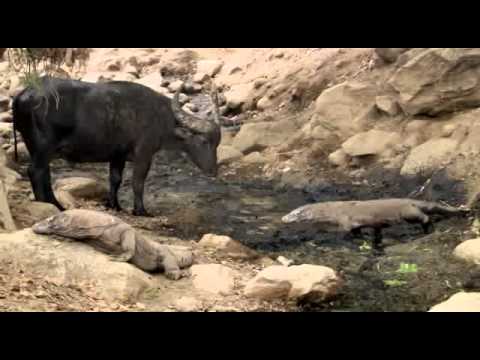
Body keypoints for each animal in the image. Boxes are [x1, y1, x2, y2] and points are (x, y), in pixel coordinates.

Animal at [11, 76, 221, 217]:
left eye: (217, 144)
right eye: (204, 141)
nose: (213, 171)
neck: (160, 116)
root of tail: (22, 95)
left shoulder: (118, 156)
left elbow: (115, 179)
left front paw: (114, 205)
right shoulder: (144, 154)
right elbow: (138, 182)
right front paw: (140, 210)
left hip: (40, 150)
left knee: (44, 174)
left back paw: (55, 204)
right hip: (42, 148)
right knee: (35, 172)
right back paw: (48, 205)